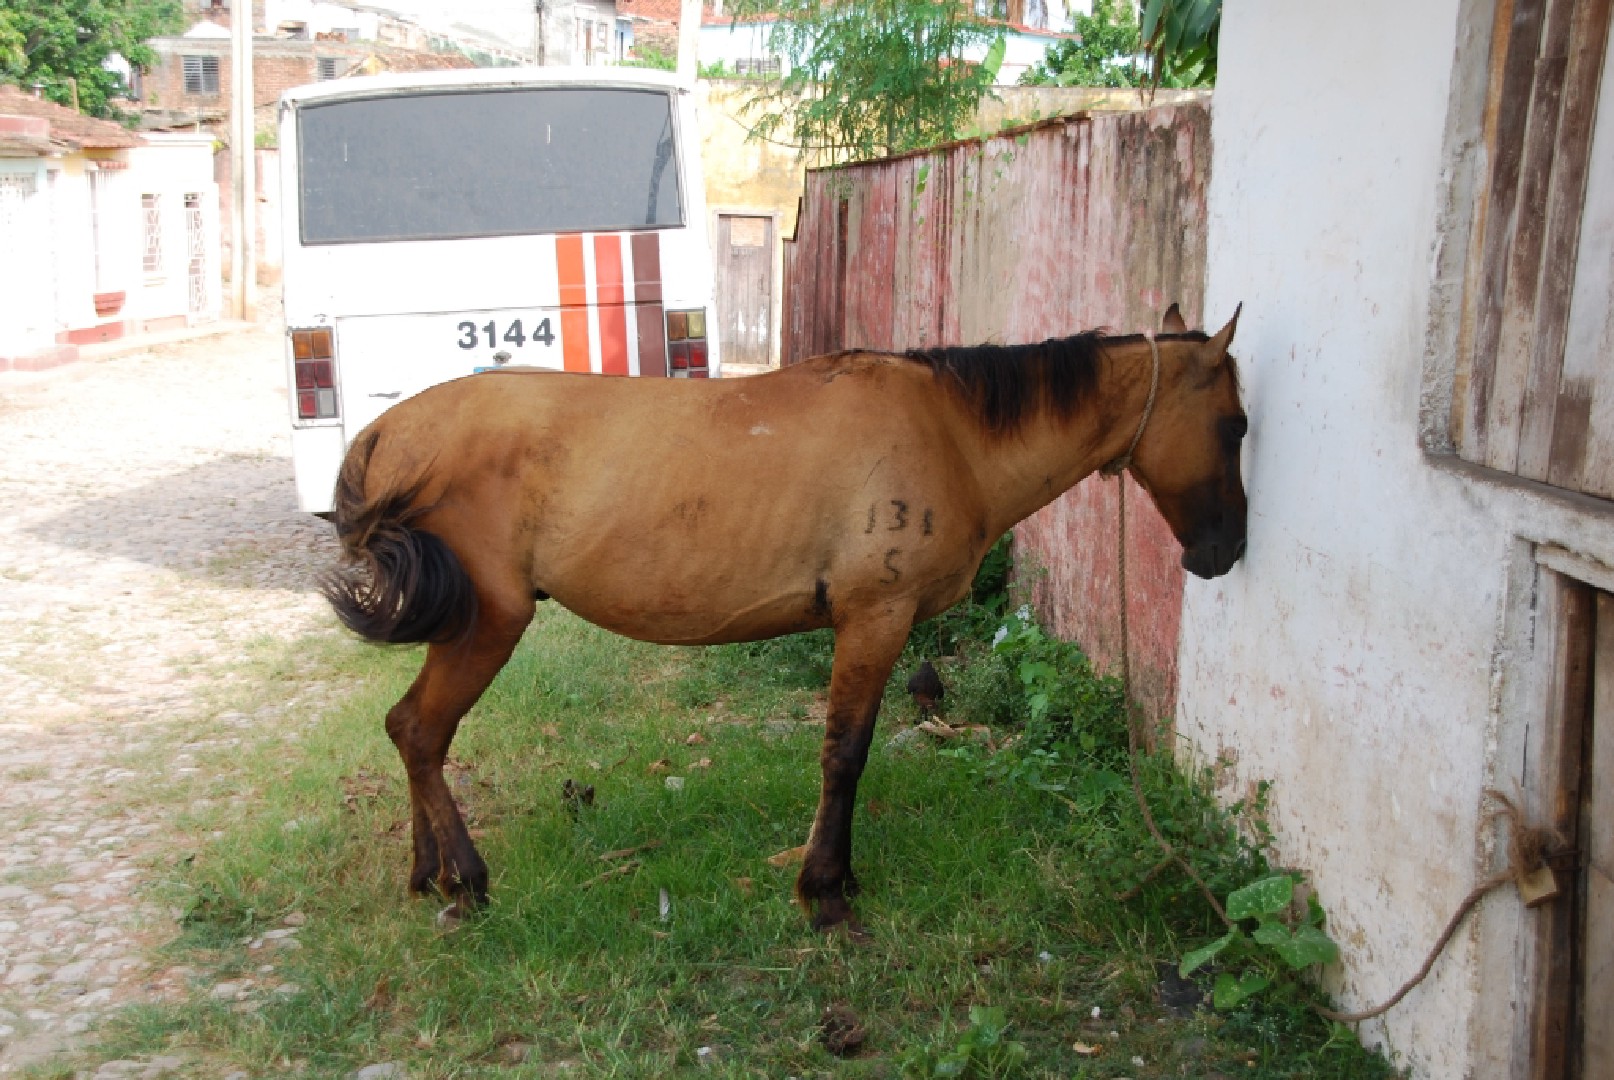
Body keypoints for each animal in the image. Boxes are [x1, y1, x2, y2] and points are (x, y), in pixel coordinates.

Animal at [317, 303, 1246, 929]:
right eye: (1235, 425)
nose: (1224, 550)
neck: (951, 431)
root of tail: (386, 431)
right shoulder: (875, 619)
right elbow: (845, 757)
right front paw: (825, 892)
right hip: (489, 623)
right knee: (422, 732)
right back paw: (467, 880)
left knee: (410, 730)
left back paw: (430, 873)